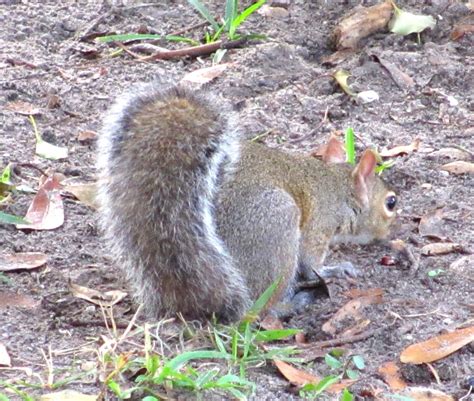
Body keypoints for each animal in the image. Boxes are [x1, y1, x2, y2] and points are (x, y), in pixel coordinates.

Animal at [98, 81, 398, 322]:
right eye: (391, 203)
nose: (390, 235)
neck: (338, 187)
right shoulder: (320, 223)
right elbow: (311, 262)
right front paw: (336, 269)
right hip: (277, 223)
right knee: (262, 308)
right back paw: (291, 304)